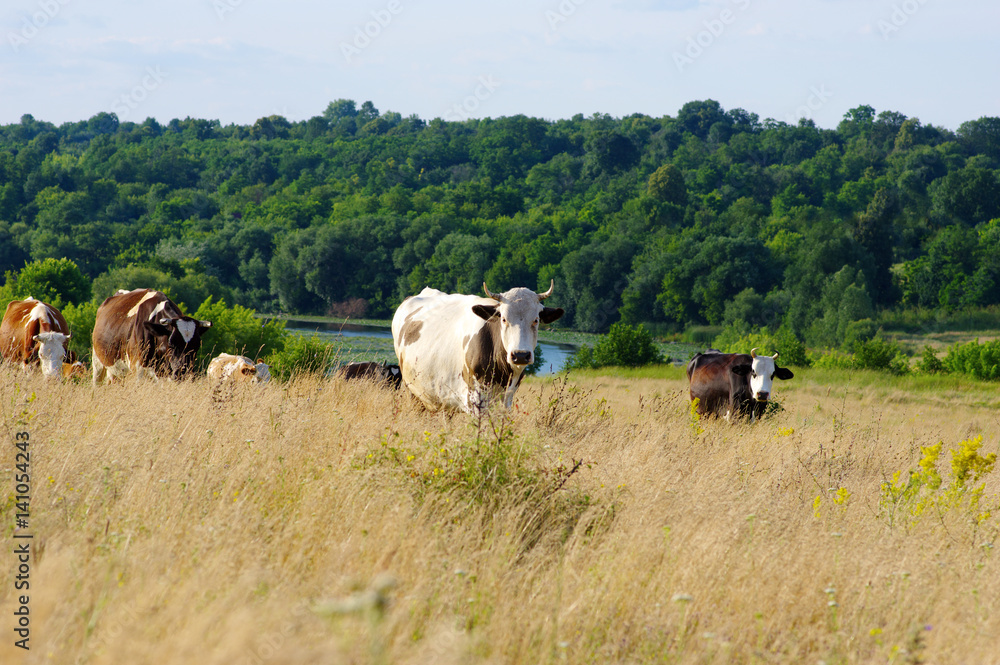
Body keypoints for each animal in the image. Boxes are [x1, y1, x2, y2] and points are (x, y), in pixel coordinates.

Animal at [390, 278, 564, 410]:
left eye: (536, 320)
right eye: (504, 319)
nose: (520, 355)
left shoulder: (507, 399)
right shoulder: (474, 399)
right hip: (410, 389)